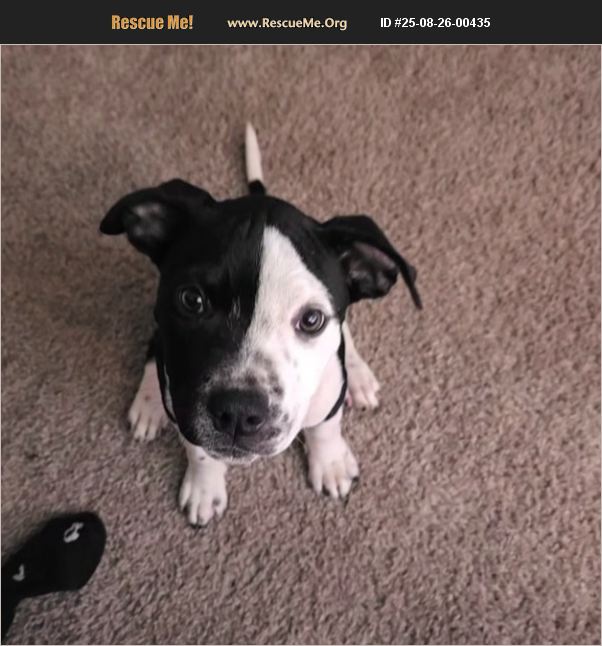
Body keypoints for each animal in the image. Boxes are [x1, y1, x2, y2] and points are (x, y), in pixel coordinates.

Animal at [100, 124, 421, 526]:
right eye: (191, 300)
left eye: (312, 320)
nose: (239, 412)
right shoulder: (185, 409)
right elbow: (200, 451)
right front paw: (205, 487)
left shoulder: (327, 396)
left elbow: (326, 427)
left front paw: (329, 462)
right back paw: (148, 403)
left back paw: (359, 376)